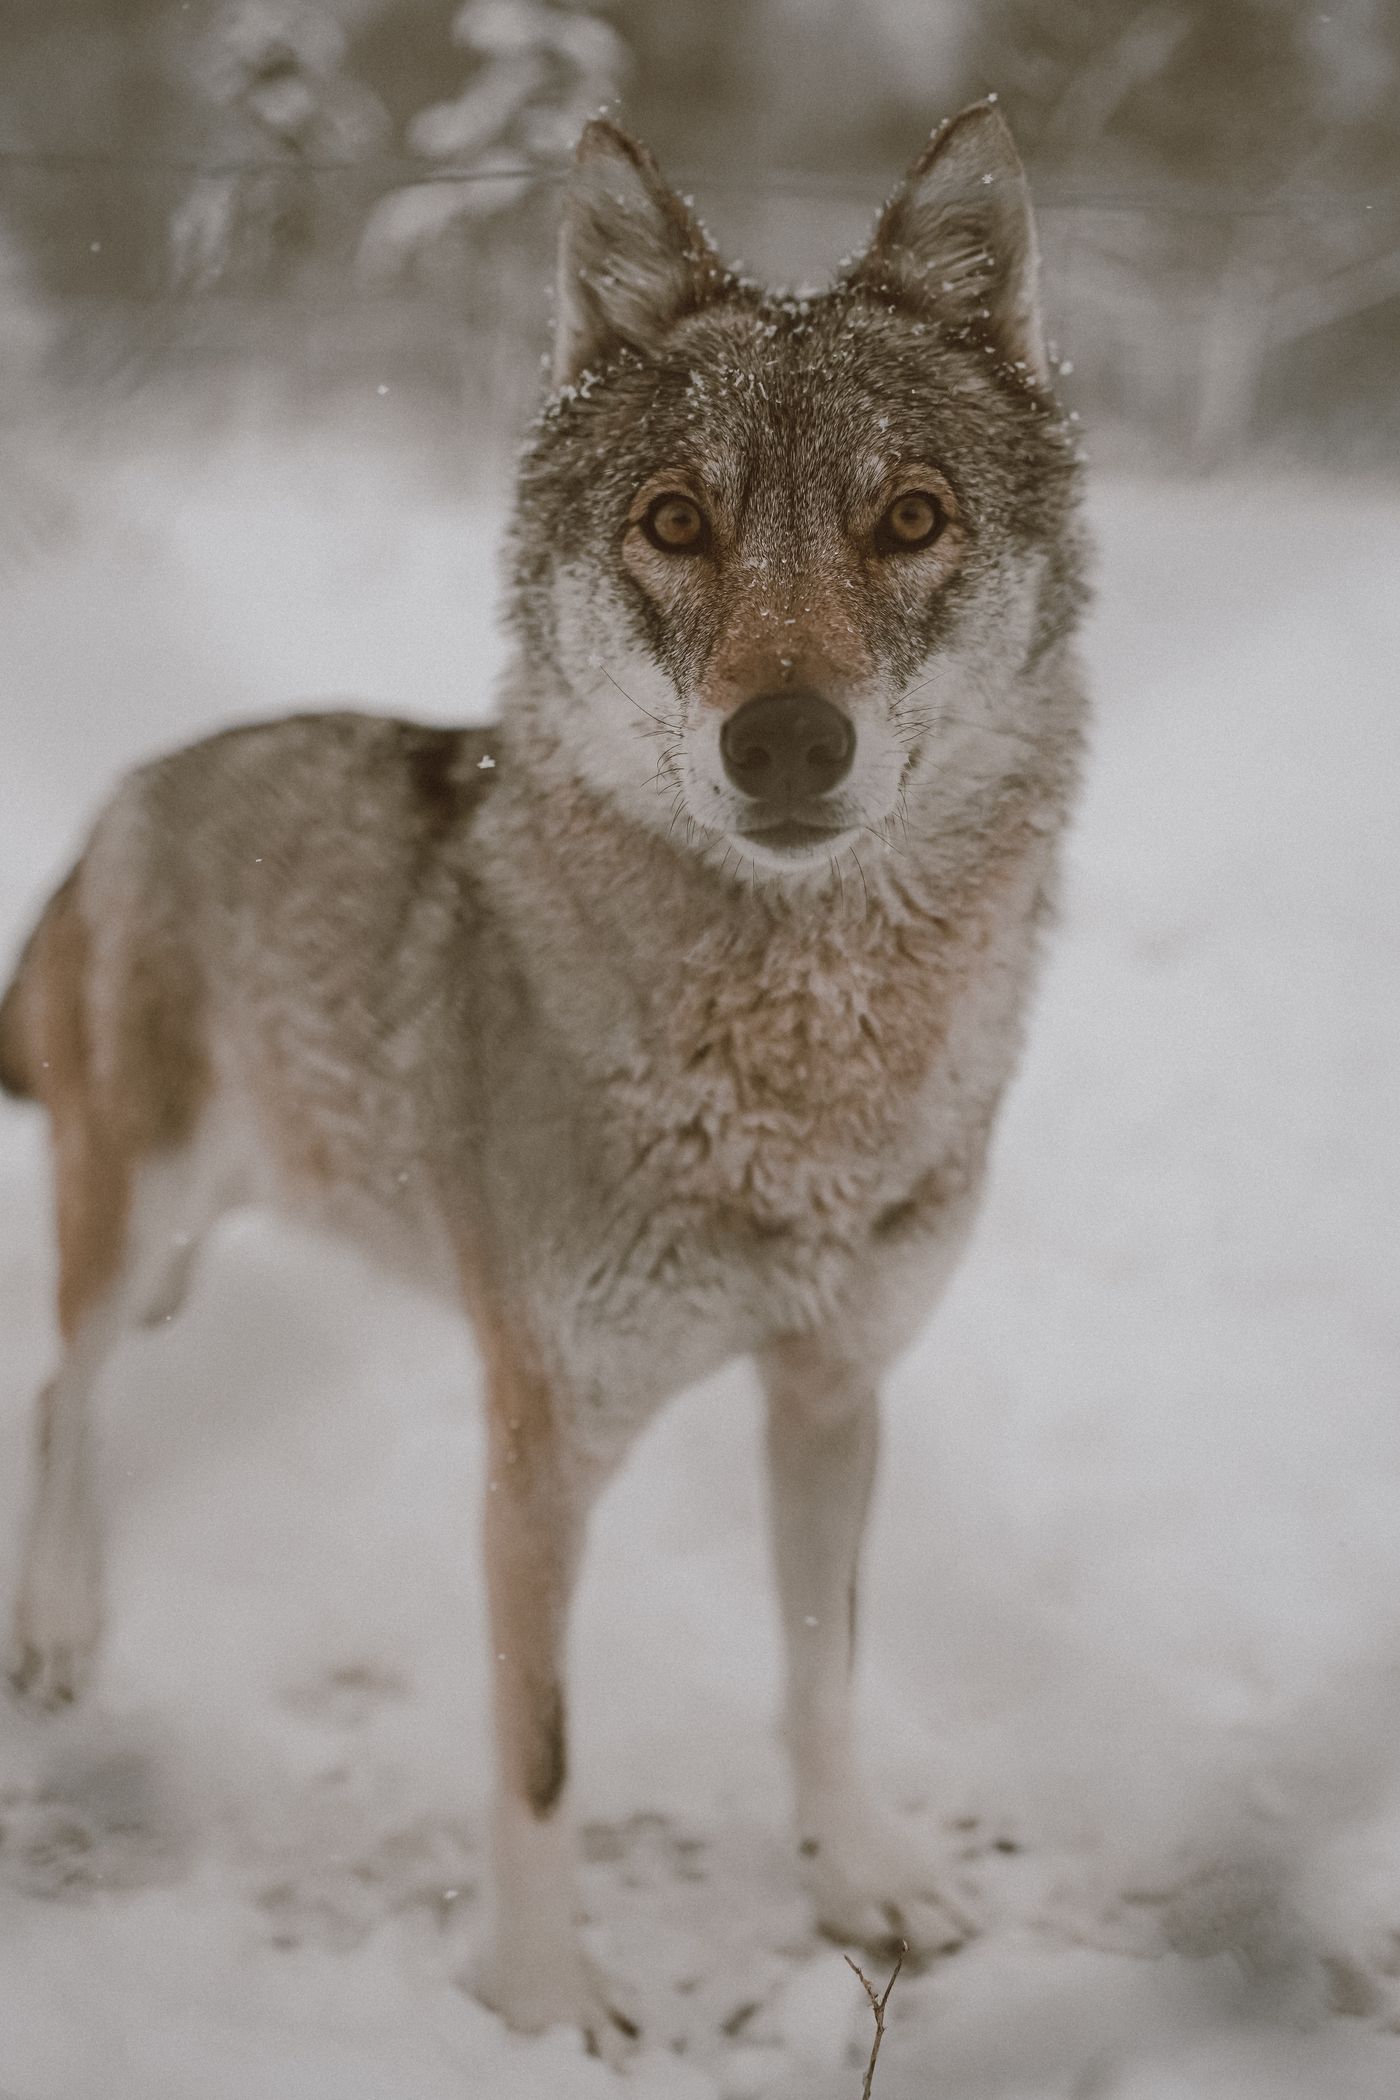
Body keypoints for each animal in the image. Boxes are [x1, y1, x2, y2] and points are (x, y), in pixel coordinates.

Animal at [0, 104, 1088, 2054]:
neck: (795, 1069)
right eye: (674, 522)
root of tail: (129, 787)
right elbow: (539, 1758)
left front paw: (863, 1883)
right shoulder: (538, 1449)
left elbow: (824, 1678)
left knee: (69, 1398)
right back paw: (53, 1632)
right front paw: (544, 1998)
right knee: (62, 1390)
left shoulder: (833, 1395)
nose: (787, 741)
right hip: (137, 1227)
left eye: (910, 520)